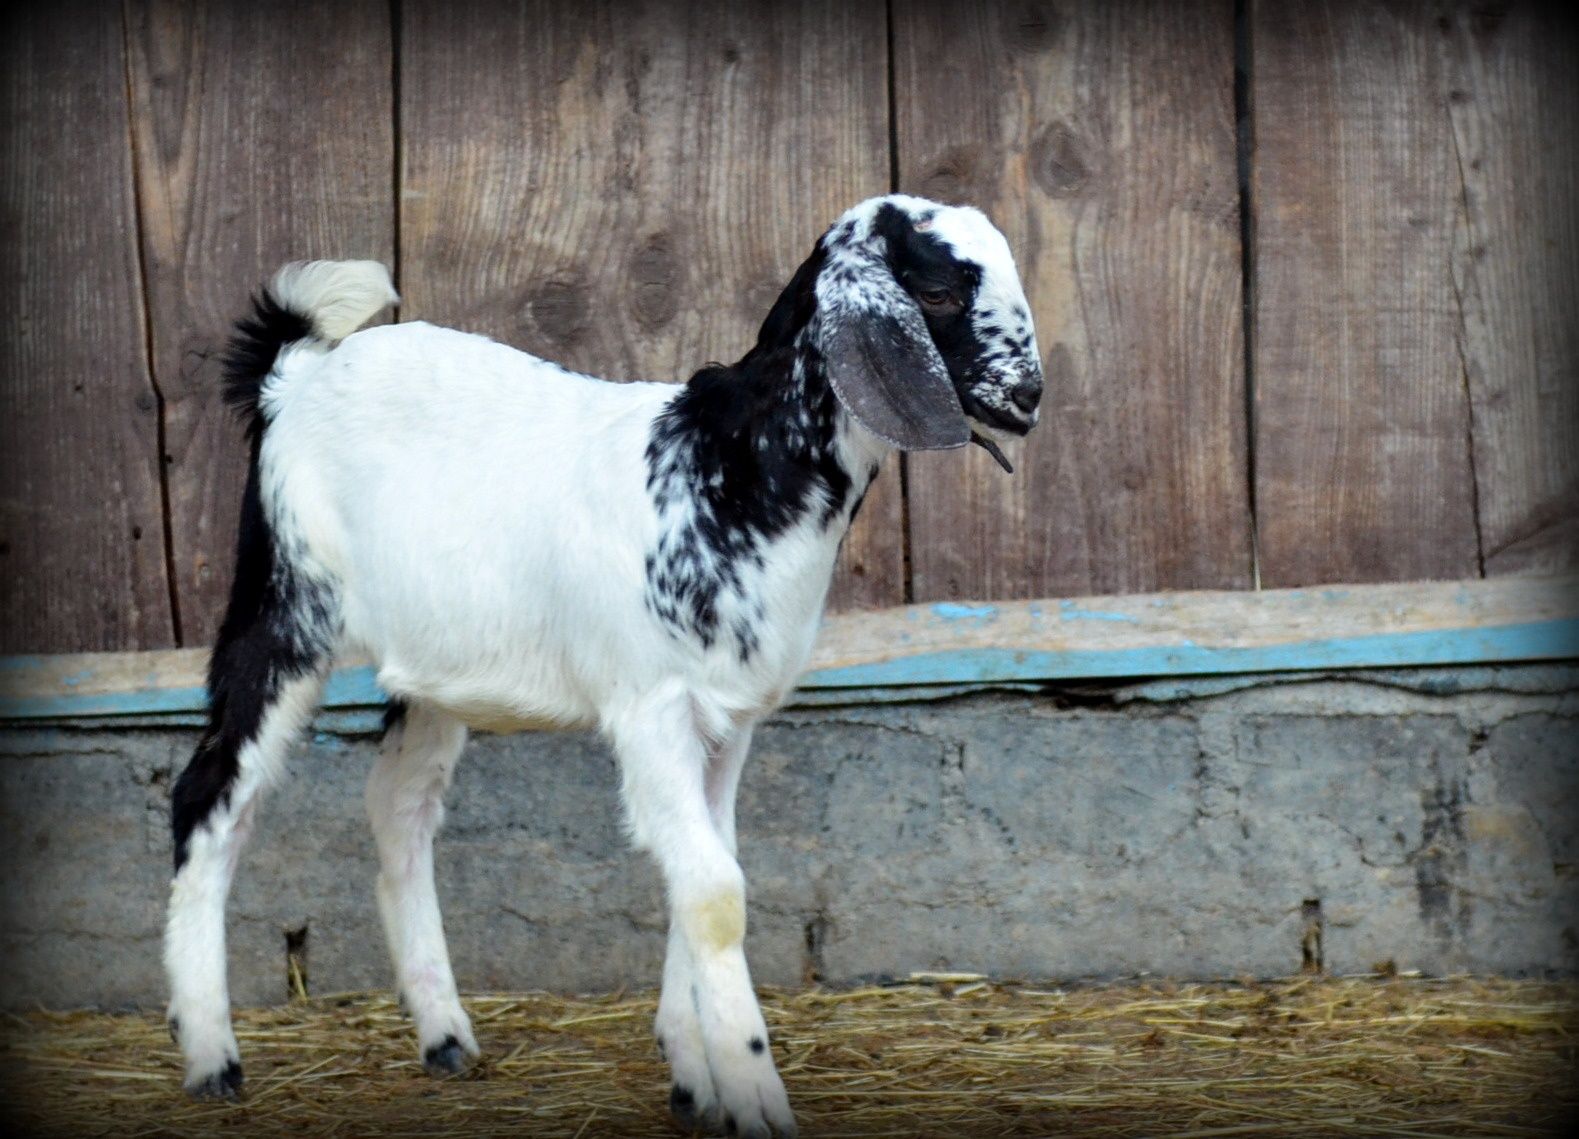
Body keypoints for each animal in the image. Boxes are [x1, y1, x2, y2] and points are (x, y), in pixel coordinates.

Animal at [166, 191, 1042, 1131]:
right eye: (940, 290)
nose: (1029, 396)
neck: (723, 470)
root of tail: (290, 378)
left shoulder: (726, 717)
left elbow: (704, 872)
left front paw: (695, 1077)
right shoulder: (649, 705)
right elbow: (713, 893)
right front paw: (754, 1093)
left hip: (435, 661)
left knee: (398, 808)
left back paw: (444, 1035)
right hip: (283, 609)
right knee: (210, 792)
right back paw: (211, 1055)